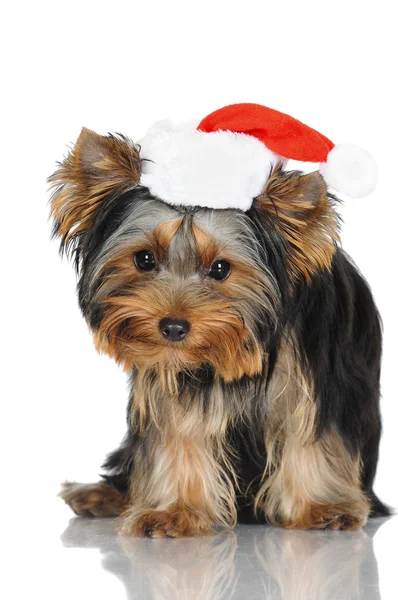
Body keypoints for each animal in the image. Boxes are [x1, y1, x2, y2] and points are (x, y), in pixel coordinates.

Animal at [49, 104, 388, 540]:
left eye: (221, 268)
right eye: (144, 259)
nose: (173, 328)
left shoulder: (317, 376)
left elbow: (310, 432)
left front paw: (322, 507)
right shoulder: (173, 377)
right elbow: (180, 430)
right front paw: (173, 510)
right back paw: (102, 494)